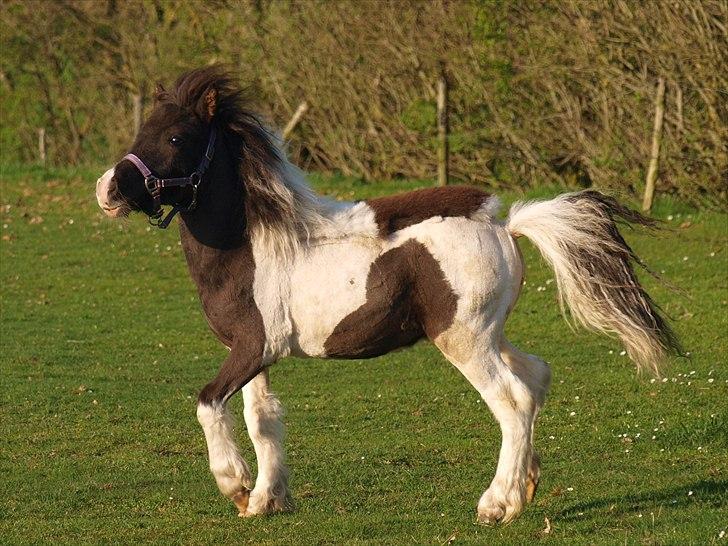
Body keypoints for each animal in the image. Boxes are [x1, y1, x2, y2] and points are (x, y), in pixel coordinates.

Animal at [94, 66, 680, 520]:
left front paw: (234, 486)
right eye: (143, 129)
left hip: (464, 340)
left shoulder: (253, 348)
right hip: (491, 333)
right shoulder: (255, 353)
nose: (107, 189)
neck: (252, 243)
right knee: (535, 379)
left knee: (512, 401)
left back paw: (496, 505)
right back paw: (526, 488)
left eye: (176, 139)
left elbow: (208, 402)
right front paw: (264, 500)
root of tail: (506, 225)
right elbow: (262, 419)